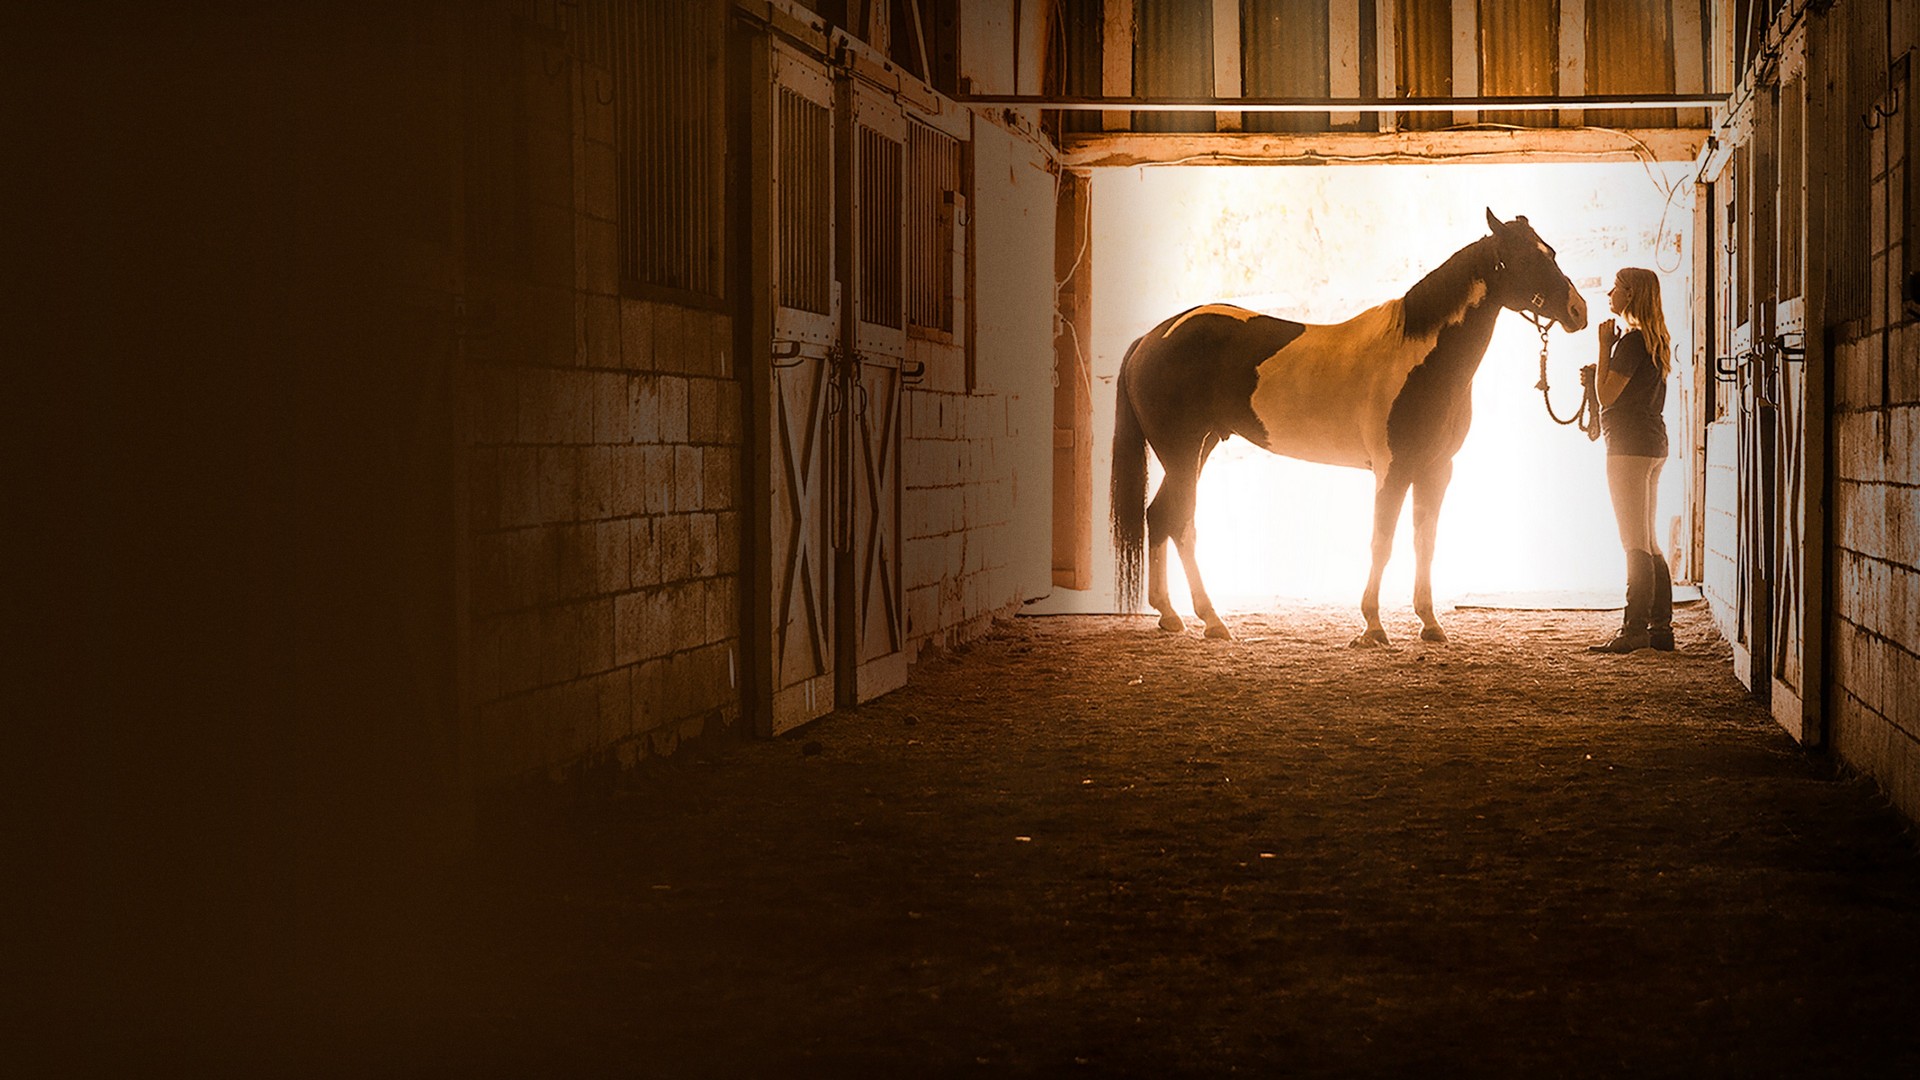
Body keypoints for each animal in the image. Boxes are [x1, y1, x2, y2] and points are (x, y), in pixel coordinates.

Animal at [1113, 206, 1589, 641]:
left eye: (1550, 252)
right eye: (1527, 258)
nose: (1578, 310)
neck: (1418, 357)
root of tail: (1150, 339)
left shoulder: (1436, 469)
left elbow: (1425, 542)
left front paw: (1430, 623)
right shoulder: (1392, 470)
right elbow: (1382, 541)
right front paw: (1373, 626)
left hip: (1199, 449)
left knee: (1160, 517)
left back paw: (1170, 615)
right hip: (1182, 452)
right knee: (1182, 523)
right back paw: (1212, 620)